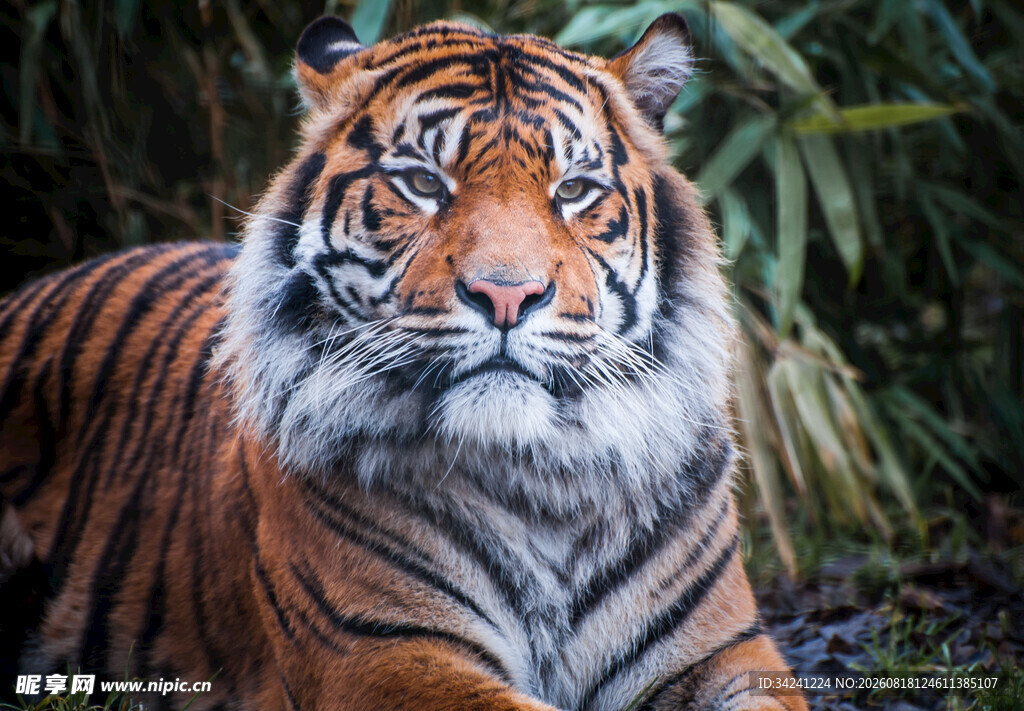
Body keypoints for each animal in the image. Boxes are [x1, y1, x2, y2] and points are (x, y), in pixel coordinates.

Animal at [0, 13, 807, 711]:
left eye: (573, 190)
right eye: (423, 183)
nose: (506, 294)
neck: (543, 484)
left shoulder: (725, 651)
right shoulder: (383, 653)